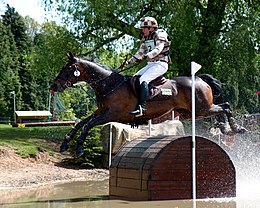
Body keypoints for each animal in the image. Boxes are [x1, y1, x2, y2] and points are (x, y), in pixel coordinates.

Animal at [49, 51, 247, 156]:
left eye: (67, 69)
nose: (53, 85)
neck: (109, 84)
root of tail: (199, 78)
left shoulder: (112, 114)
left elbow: (87, 125)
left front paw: (79, 148)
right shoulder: (101, 111)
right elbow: (81, 123)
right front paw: (65, 144)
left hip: (201, 108)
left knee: (226, 106)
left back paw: (234, 128)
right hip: (194, 112)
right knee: (222, 109)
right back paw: (225, 127)